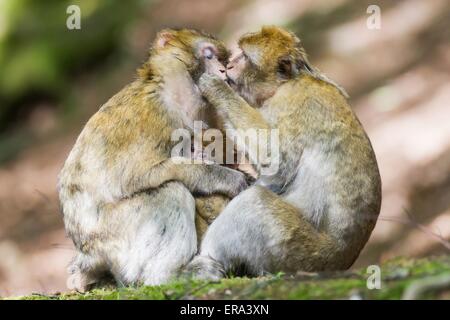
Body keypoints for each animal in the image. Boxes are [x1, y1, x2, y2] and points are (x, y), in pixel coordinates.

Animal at [57, 29, 248, 290]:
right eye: (209, 55)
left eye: (222, 59)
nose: (222, 70)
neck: (171, 94)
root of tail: (87, 254)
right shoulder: (155, 115)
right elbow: (135, 177)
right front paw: (226, 178)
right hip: (114, 234)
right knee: (170, 192)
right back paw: (171, 276)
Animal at [185, 26, 382, 278]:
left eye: (244, 57)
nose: (228, 66)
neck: (285, 84)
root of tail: (340, 262)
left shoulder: (288, 105)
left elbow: (276, 163)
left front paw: (216, 87)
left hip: (294, 252)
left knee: (254, 202)